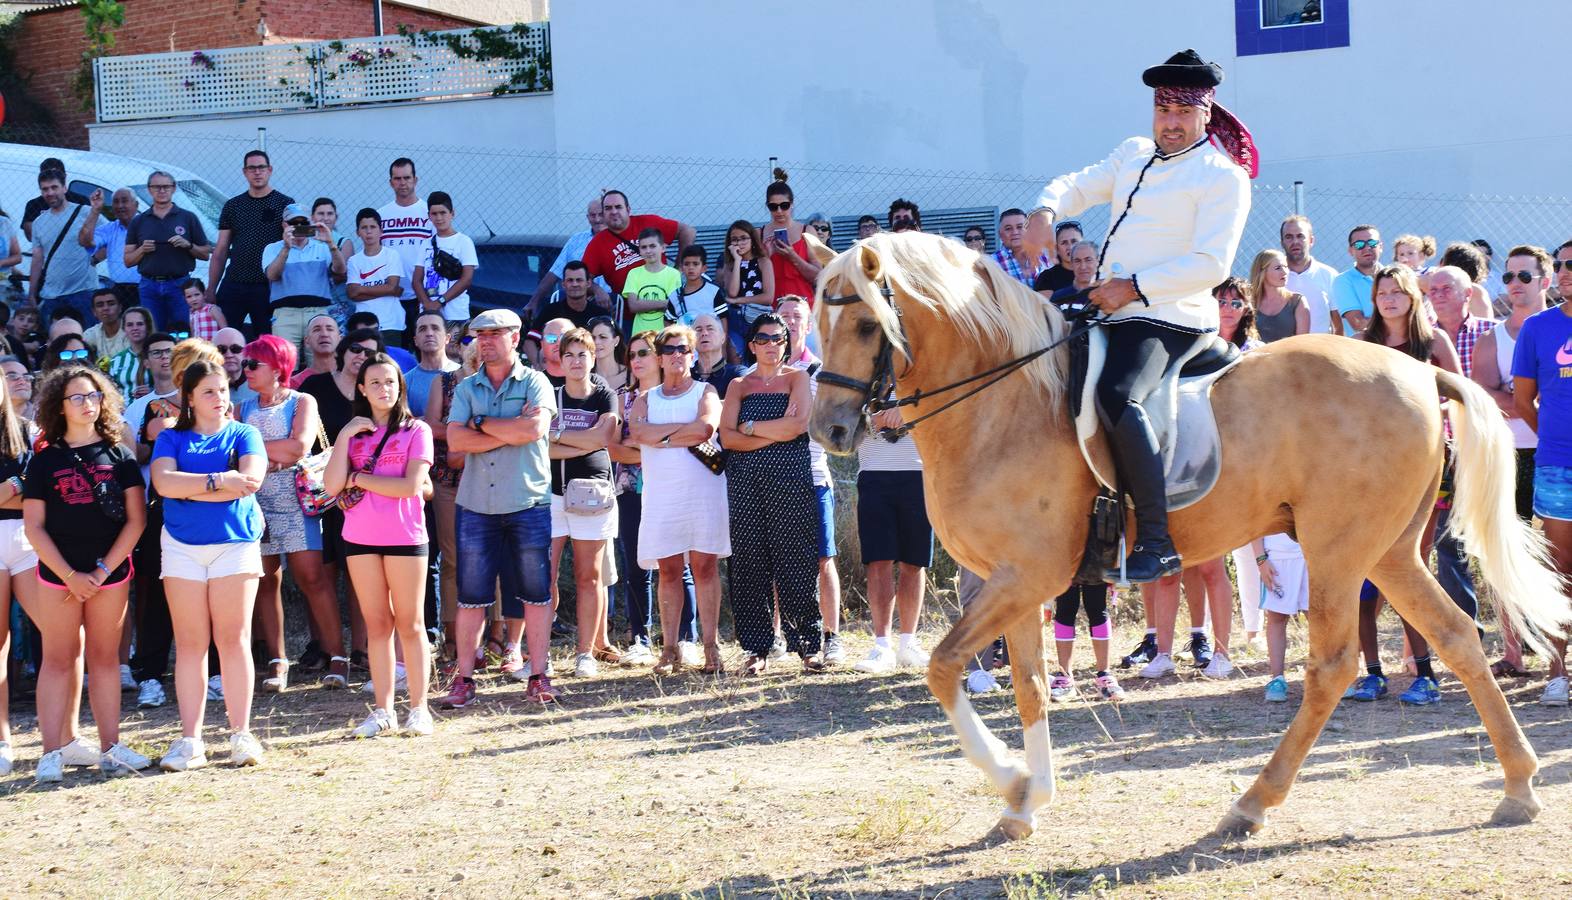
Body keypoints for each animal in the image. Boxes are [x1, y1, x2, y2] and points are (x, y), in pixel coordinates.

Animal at [804, 230, 1565, 841]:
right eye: (819, 319)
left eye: (868, 325)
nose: (830, 430)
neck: (1005, 403)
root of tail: (1422, 368)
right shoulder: (1013, 581)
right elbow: (1031, 686)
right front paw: (1026, 804)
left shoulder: (1027, 576)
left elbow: (942, 665)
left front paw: (1014, 781)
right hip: (1390, 550)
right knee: (1457, 635)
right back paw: (1518, 787)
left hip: (1337, 551)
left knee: (1334, 666)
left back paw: (1251, 804)